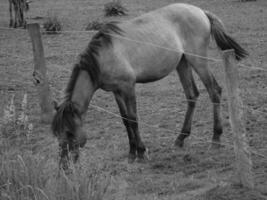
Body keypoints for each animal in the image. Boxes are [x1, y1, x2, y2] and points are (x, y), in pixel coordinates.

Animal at [51, 2, 248, 169]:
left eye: (69, 132)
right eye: (57, 133)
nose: (63, 165)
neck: (104, 56)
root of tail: (200, 11)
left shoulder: (128, 87)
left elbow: (133, 119)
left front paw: (141, 152)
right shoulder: (116, 91)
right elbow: (125, 120)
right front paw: (131, 153)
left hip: (198, 61)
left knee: (214, 91)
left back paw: (215, 139)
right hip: (182, 63)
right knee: (192, 95)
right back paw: (180, 139)